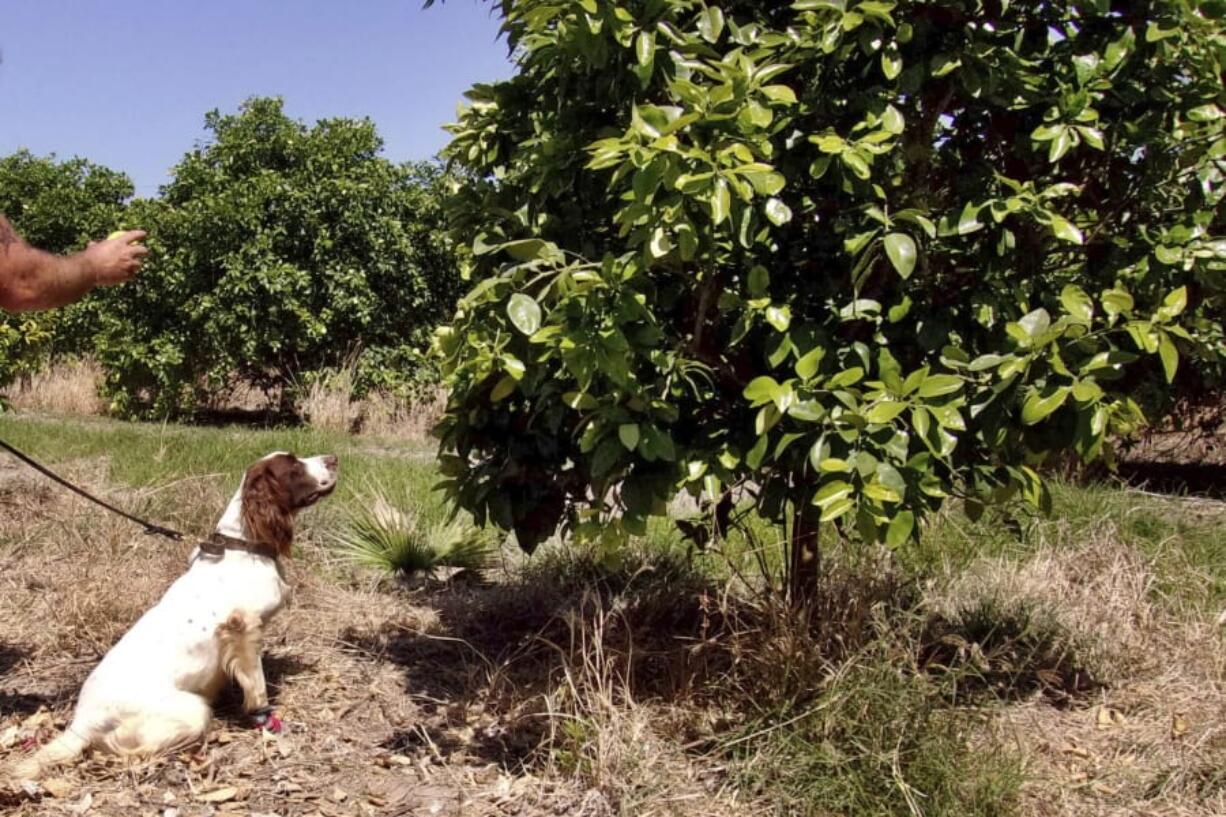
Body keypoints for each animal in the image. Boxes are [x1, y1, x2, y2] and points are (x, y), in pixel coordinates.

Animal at [11, 451, 338, 775]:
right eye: (293, 465)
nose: (333, 458)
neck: (245, 546)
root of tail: (82, 724)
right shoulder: (243, 629)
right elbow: (256, 685)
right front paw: (263, 717)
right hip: (192, 711)